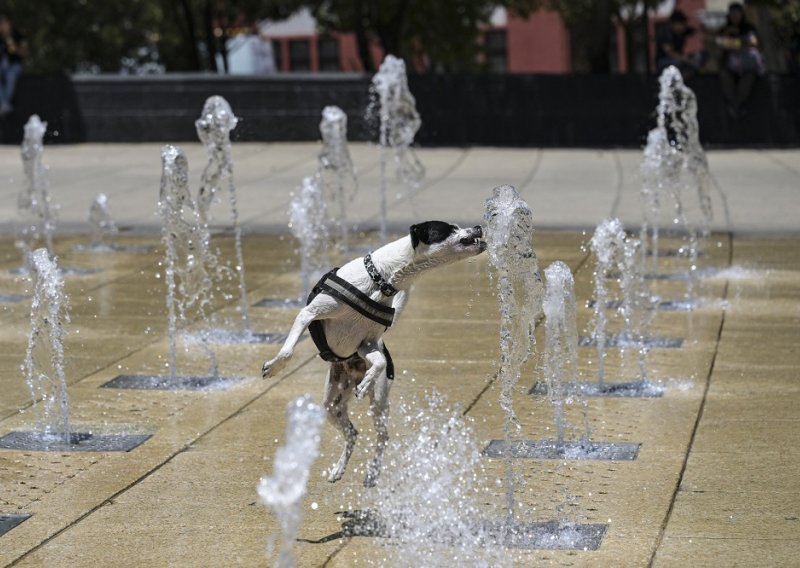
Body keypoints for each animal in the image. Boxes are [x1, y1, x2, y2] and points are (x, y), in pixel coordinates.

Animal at [264, 221, 488, 484]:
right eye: (450, 228)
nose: (478, 226)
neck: (381, 278)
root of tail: (349, 375)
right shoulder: (309, 314)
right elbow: (287, 352)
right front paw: (274, 367)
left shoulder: (368, 343)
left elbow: (380, 362)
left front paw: (367, 381)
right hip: (332, 405)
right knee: (352, 433)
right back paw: (339, 469)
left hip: (378, 403)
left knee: (379, 436)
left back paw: (371, 470)